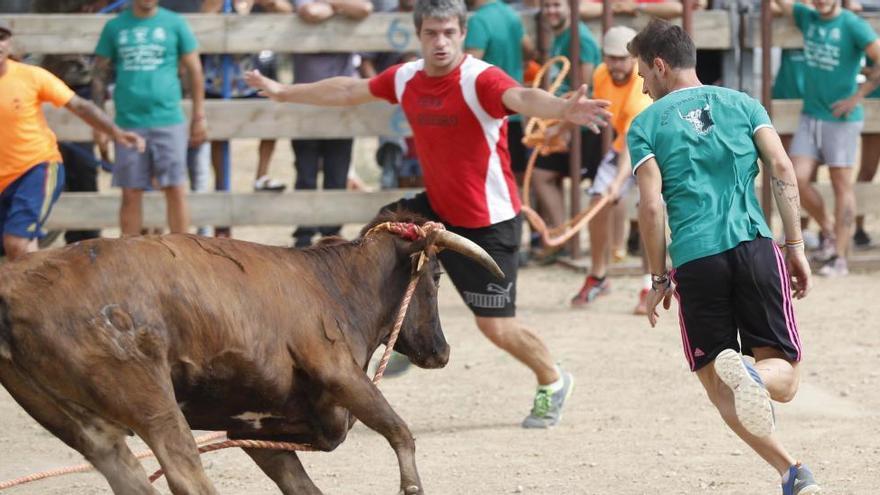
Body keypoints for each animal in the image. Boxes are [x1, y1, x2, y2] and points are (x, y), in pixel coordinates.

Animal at [0, 214, 502, 495]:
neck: (335, 285)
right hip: (148, 399)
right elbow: (400, 433)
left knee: (126, 473)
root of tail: (18, 281)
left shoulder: (251, 426)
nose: (442, 351)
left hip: (74, 418)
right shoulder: (339, 371)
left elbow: (301, 485)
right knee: (185, 473)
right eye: (435, 276)